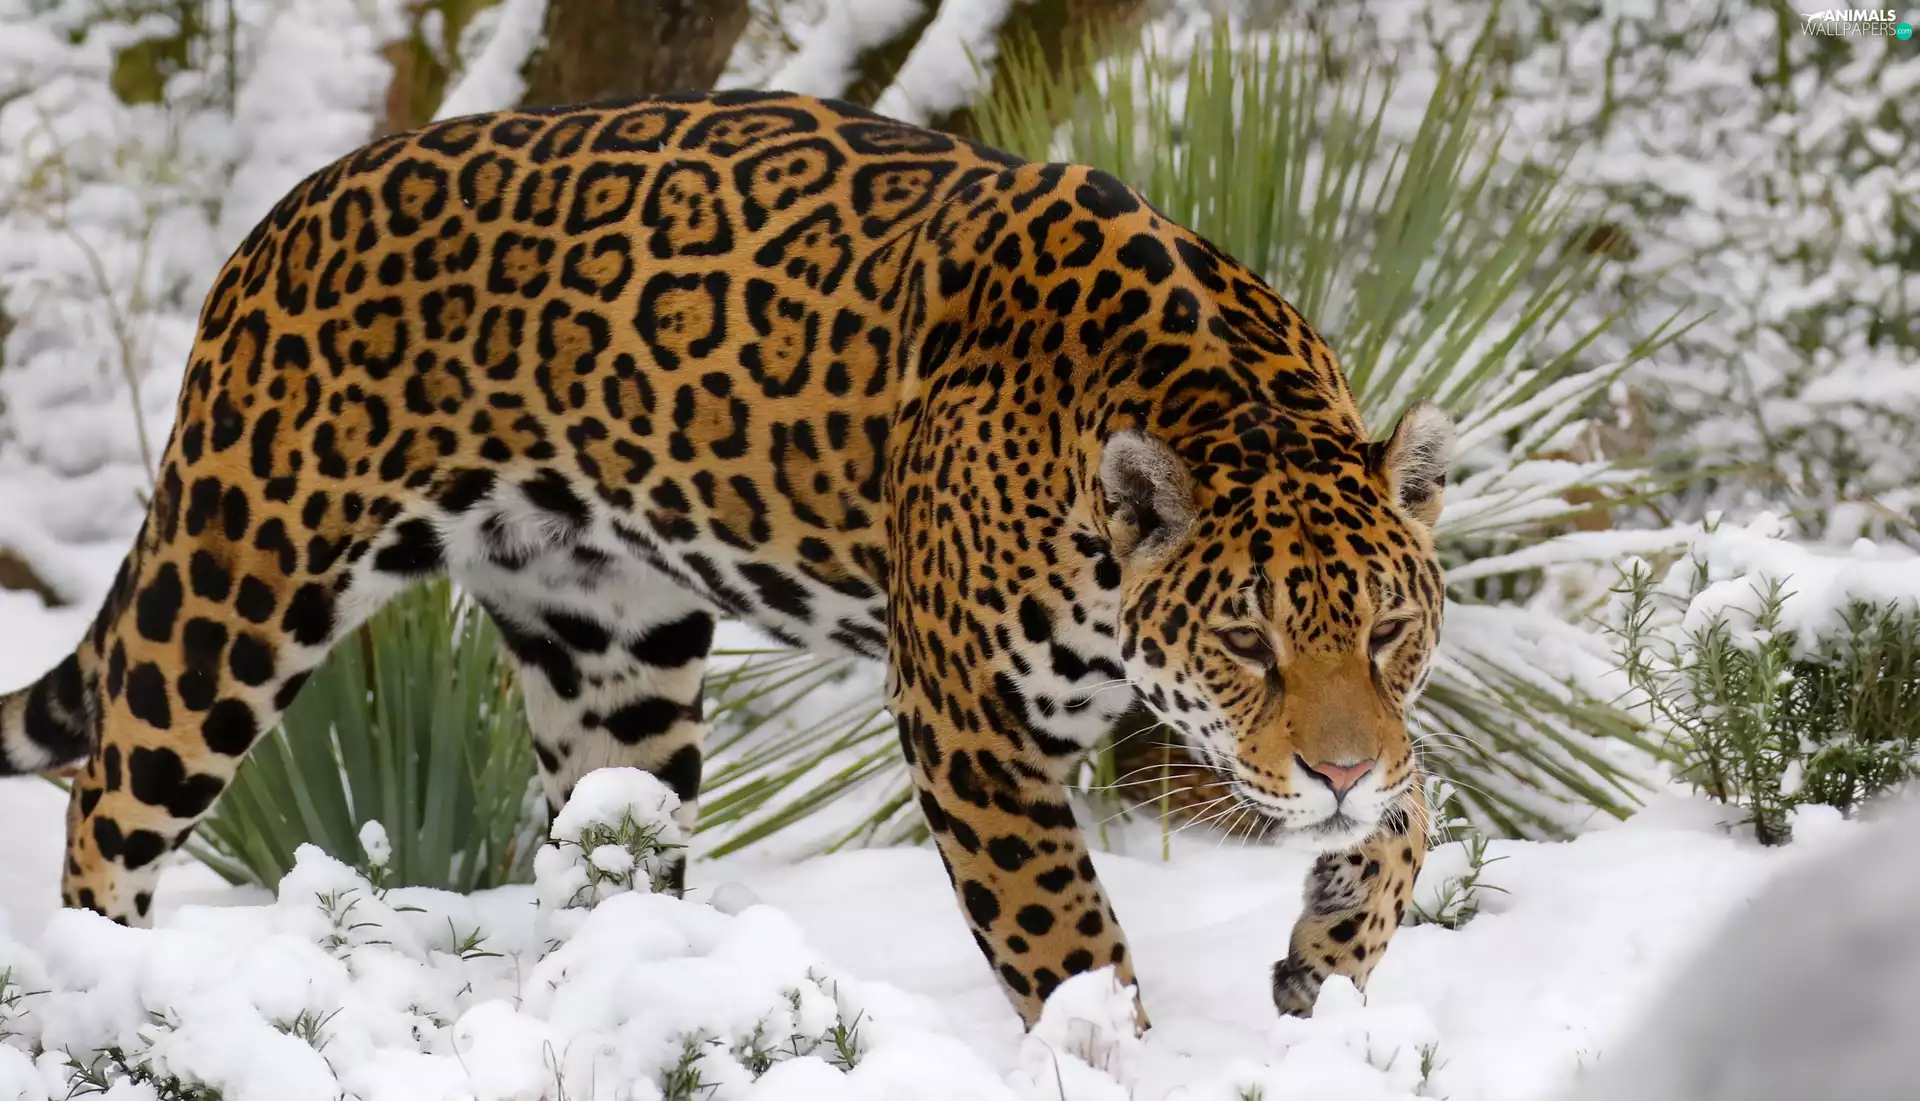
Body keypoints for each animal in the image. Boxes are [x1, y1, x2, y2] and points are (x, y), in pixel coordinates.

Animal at [0, 89, 1453, 1031]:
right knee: (106, 802)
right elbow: (1064, 936)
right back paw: (103, 999)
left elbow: (1416, 811)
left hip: (612, 655)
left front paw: (1330, 958)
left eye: (1389, 632)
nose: (1332, 773)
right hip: (241, 583)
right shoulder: (971, 724)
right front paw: (1115, 1050)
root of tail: (278, 219)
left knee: (602, 851)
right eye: (1247, 641)